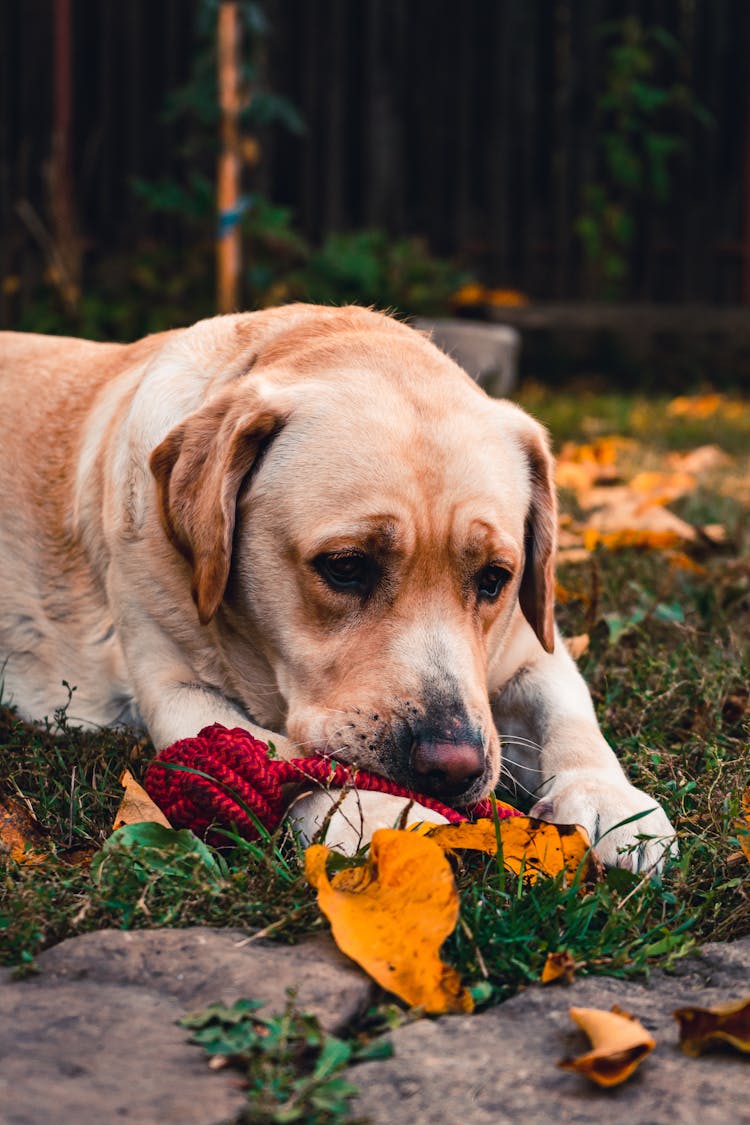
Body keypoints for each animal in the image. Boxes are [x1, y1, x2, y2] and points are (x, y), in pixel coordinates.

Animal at [0, 306, 674, 868]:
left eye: (494, 579)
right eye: (346, 566)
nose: (453, 769)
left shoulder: (533, 649)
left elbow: (570, 713)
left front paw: (612, 802)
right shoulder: (175, 689)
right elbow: (280, 754)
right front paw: (378, 809)